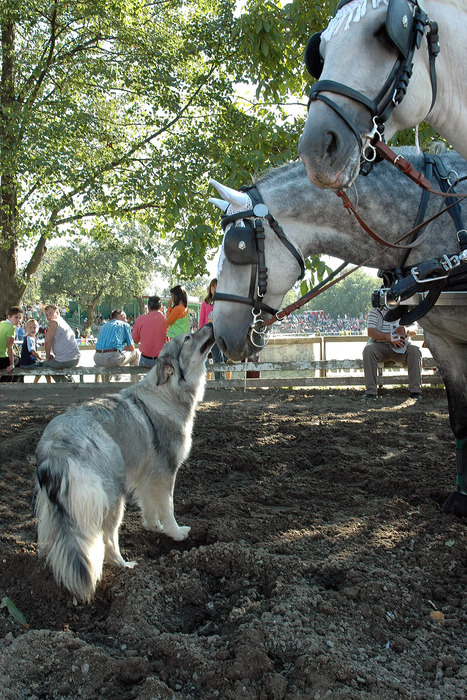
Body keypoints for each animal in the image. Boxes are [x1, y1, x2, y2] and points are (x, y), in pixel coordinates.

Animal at [34, 323, 214, 601]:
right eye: (188, 338)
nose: (211, 324)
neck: (167, 391)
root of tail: (54, 446)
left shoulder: (147, 476)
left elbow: (150, 507)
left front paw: (154, 528)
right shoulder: (165, 473)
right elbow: (168, 507)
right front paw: (176, 533)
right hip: (113, 495)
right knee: (108, 539)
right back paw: (125, 565)